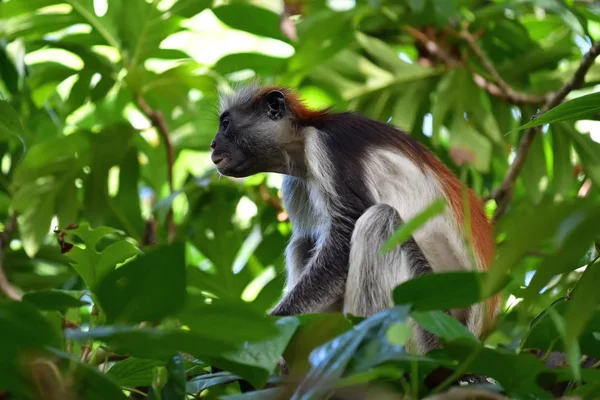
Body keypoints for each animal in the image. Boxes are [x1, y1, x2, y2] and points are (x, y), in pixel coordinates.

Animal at [209, 84, 500, 354]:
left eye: (225, 124)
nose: (212, 145)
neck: (303, 135)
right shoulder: (297, 180)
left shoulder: (328, 147)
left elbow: (346, 231)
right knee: (303, 241)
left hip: (432, 319)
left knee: (378, 219)